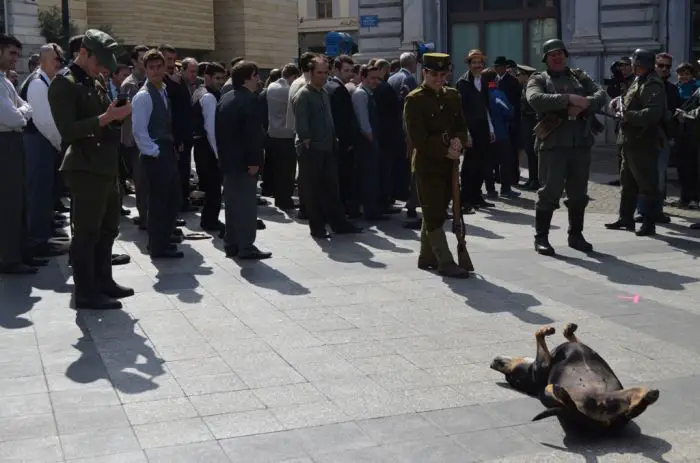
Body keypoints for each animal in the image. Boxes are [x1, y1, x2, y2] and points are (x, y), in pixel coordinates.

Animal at [490, 322, 660, 428]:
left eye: (511, 377)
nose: (493, 363)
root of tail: (602, 419)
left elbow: (571, 337)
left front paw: (568, 328)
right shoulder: (543, 363)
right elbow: (538, 333)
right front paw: (547, 330)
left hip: (620, 396)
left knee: (635, 405)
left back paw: (648, 398)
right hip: (549, 389)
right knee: (568, 404)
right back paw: (563, 393)